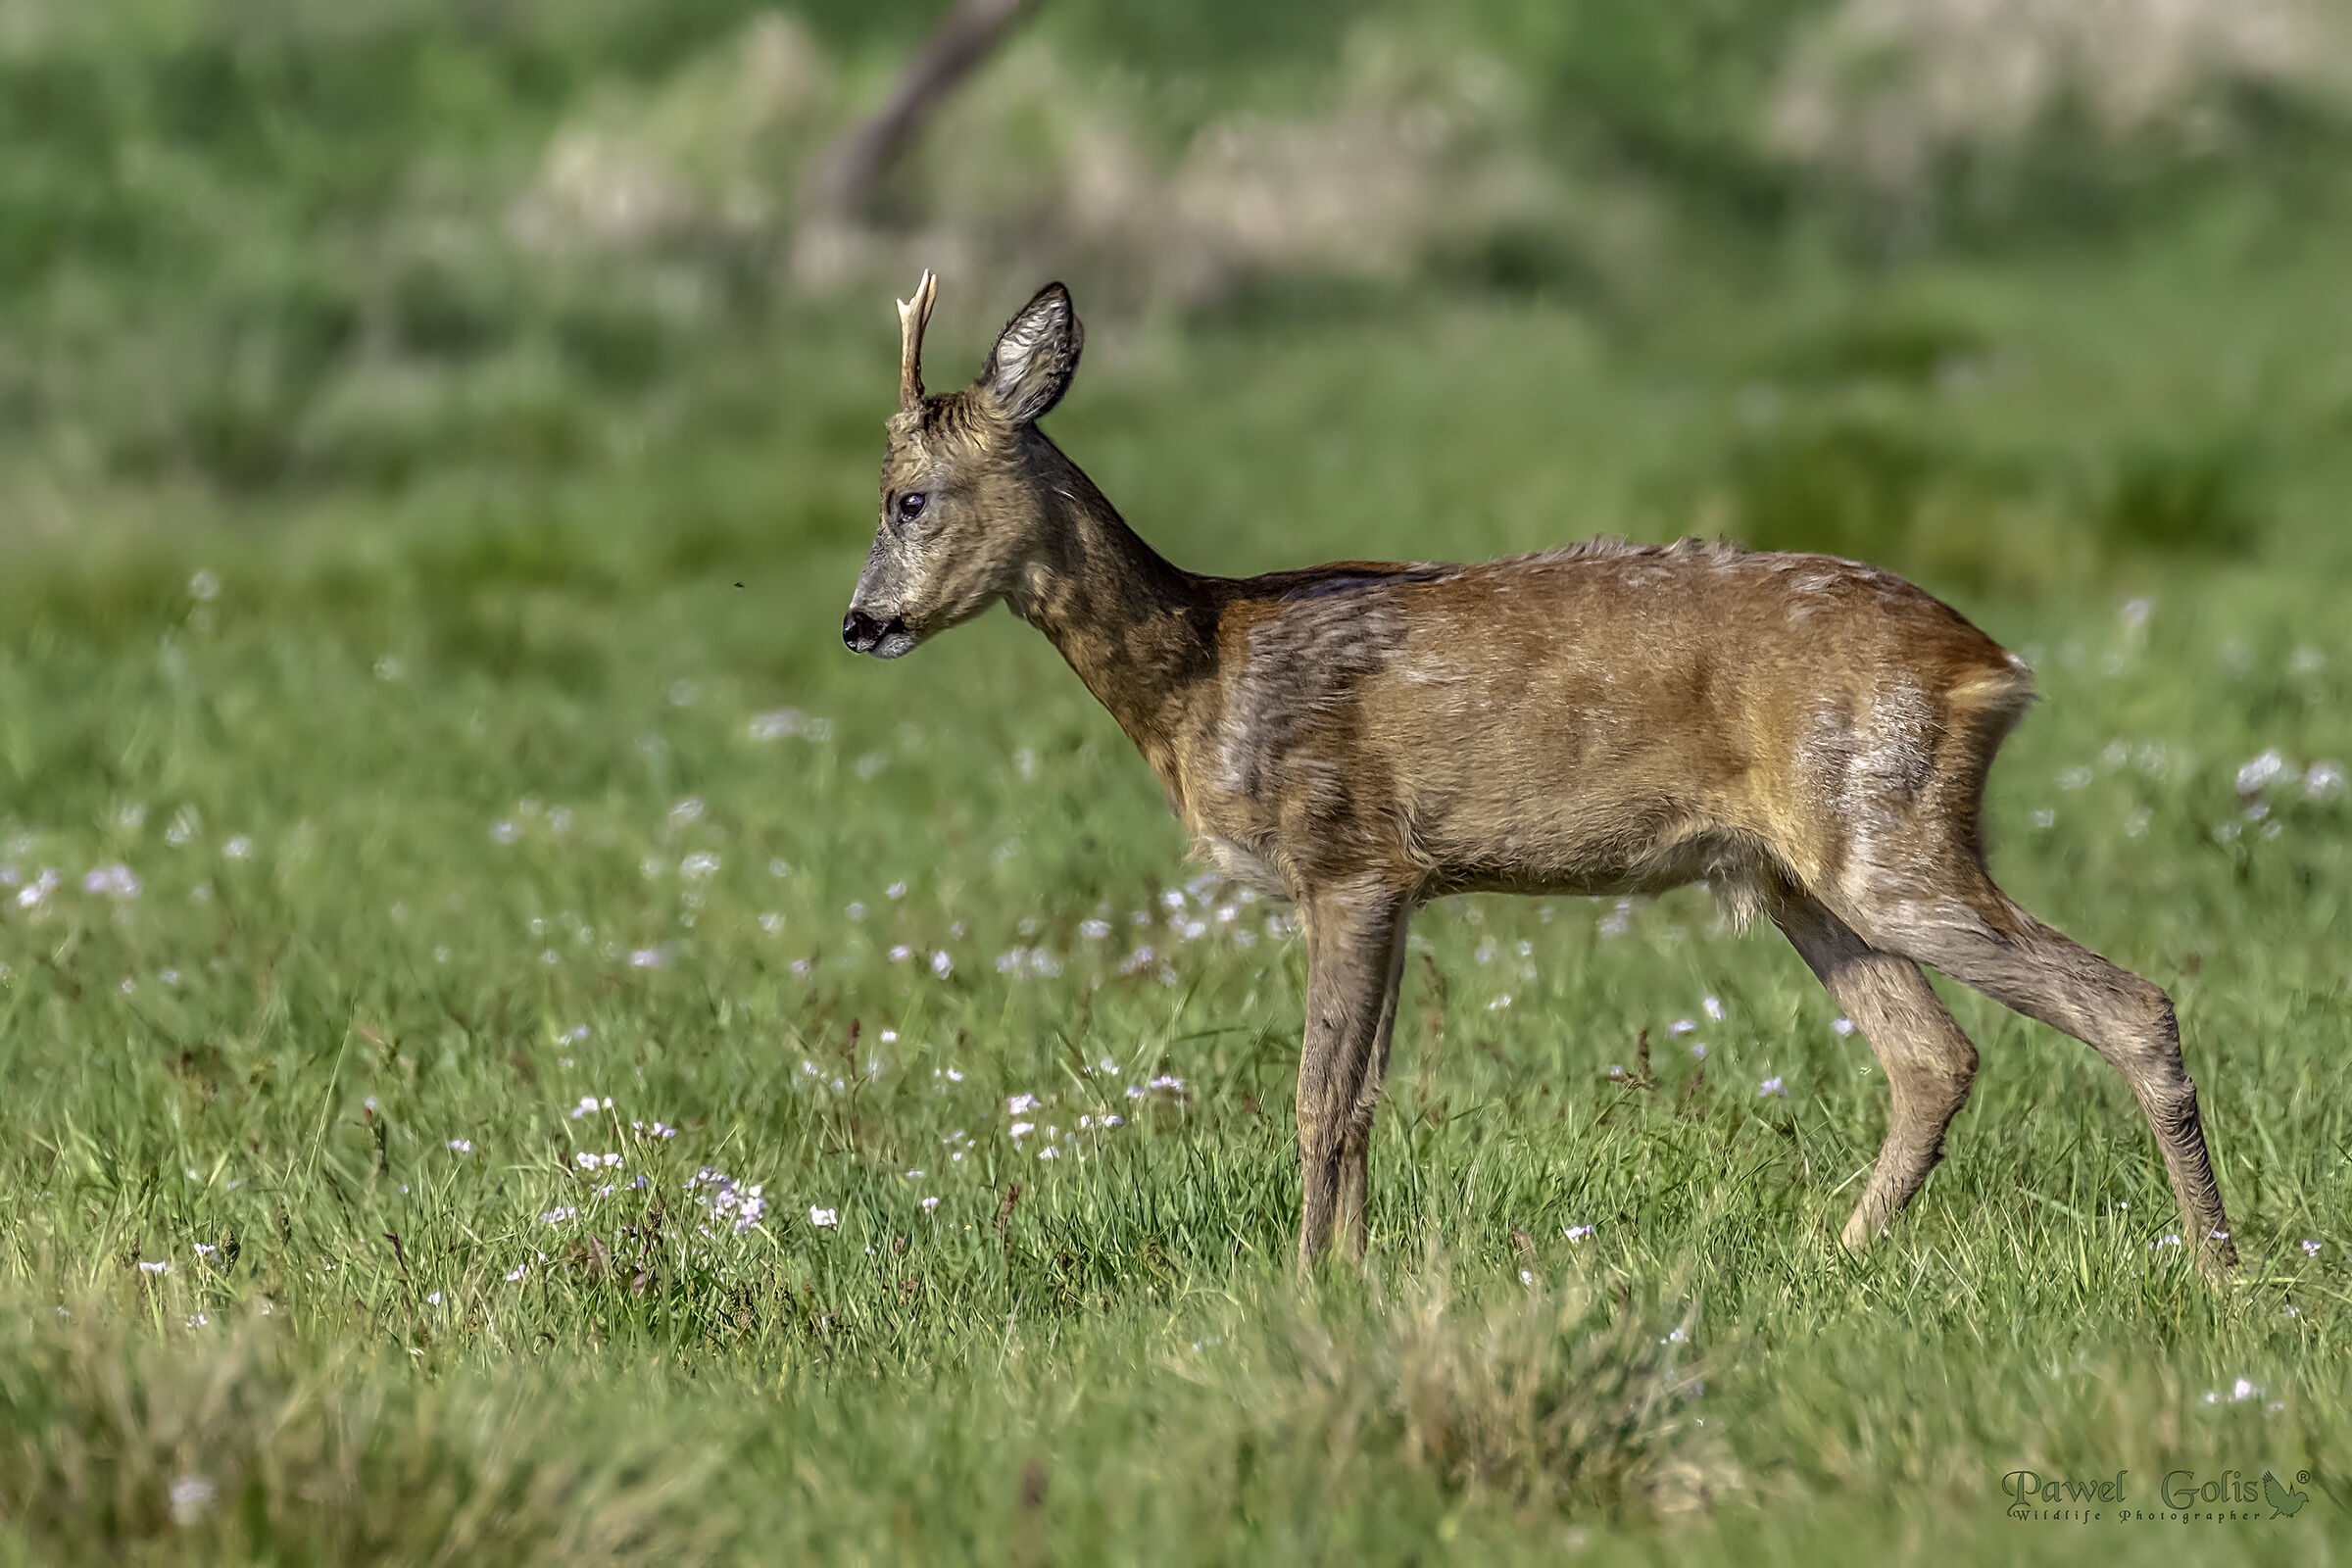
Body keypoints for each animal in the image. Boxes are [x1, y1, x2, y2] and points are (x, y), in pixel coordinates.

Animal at [841, 272, 2237, 1276]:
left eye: (911, 498)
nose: (859, 624)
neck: (1203, 672)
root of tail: (1993, 667)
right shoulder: (1403, 880)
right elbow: (1367, 1097)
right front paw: (1356, 1275)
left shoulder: (1344, 856)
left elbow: (1316, 1097)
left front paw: (1301, 1281)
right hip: (1801, 872)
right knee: (1934, 1056)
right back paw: (1834, 1257)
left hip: (1883, 822)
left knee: (2126, 1004)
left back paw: (2216, 1266)